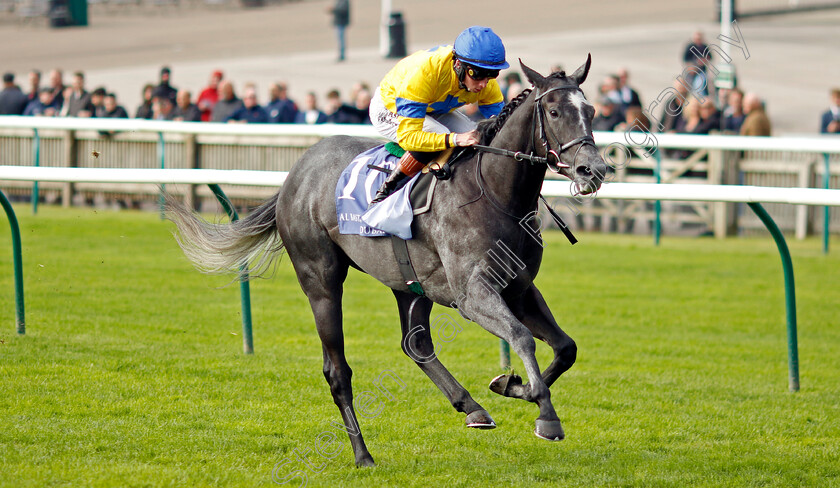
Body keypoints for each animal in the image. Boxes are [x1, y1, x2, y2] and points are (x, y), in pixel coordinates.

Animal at [166, 57, 612, 466]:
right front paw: (546, 415)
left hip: (409, 284)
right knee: (338, 370)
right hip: (320, 280)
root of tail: (294, 174)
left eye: (590, 111)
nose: (593, 169)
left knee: (415, 344)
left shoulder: (518, 288)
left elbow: (566, 347)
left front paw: (511, 386)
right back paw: (362, 455)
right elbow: (521, 337)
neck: (495, 193)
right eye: (554, 111)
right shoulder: (473, 296)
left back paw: (471, 408)